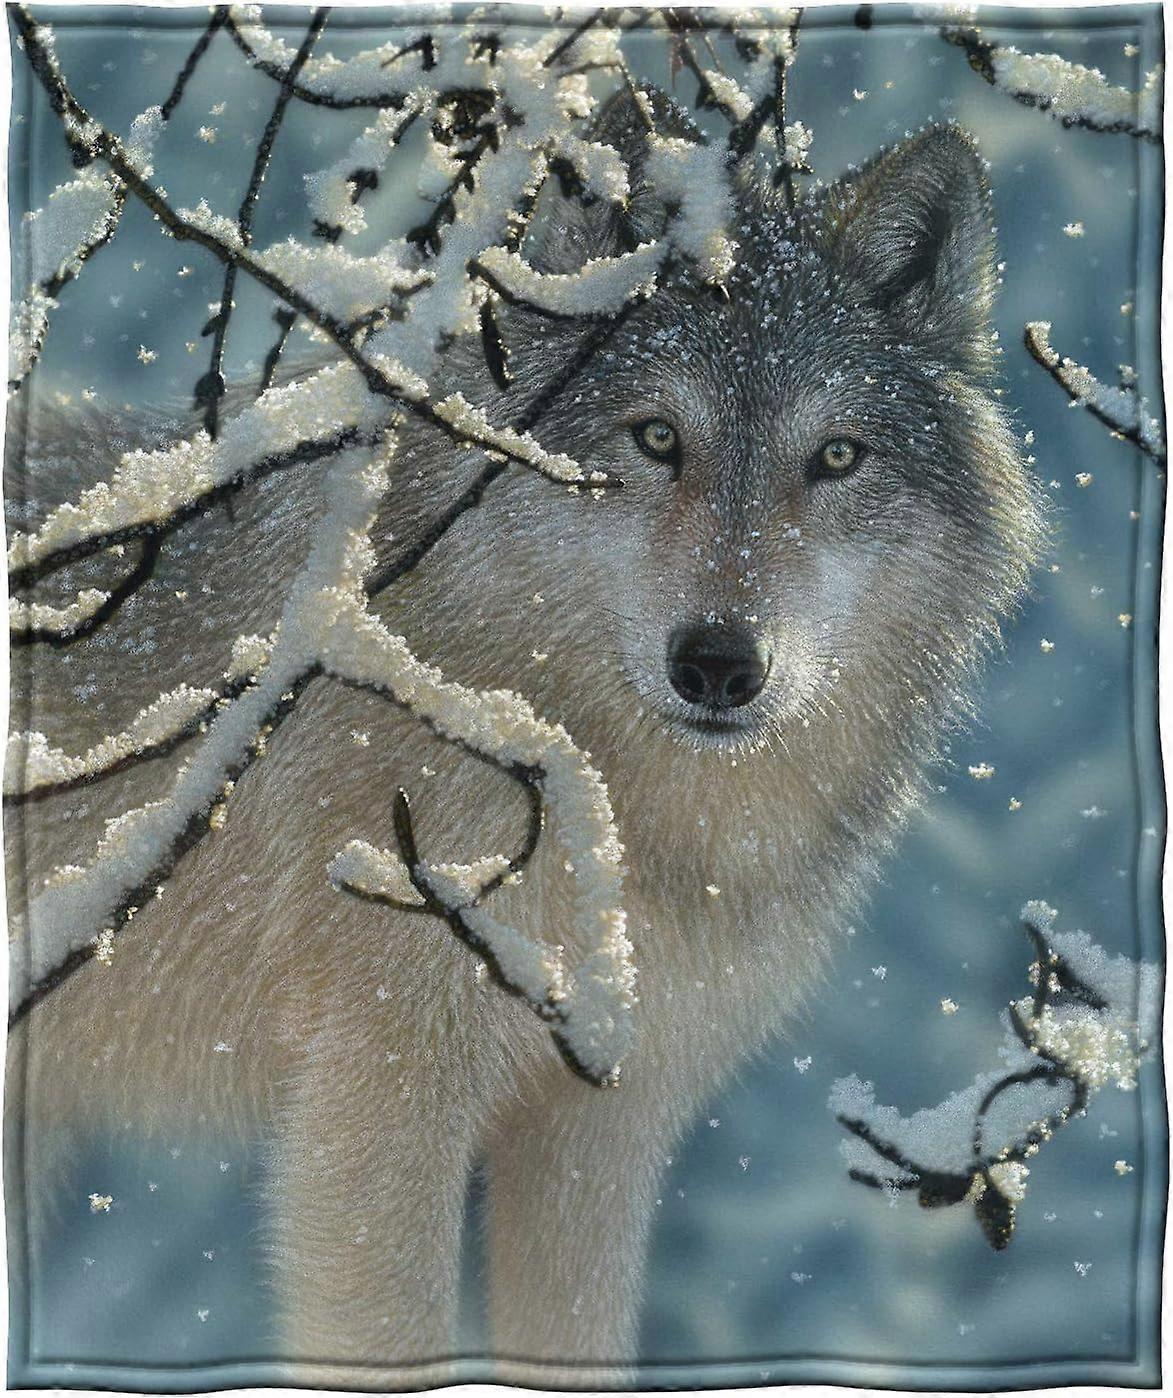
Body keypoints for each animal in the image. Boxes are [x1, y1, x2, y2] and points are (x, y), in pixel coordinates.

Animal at [6, 89, 1042, 1388]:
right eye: (657, 439)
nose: (718, 663)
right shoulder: (379, 1105)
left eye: (839, 458)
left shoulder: (603, 1127)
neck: (619, 818)